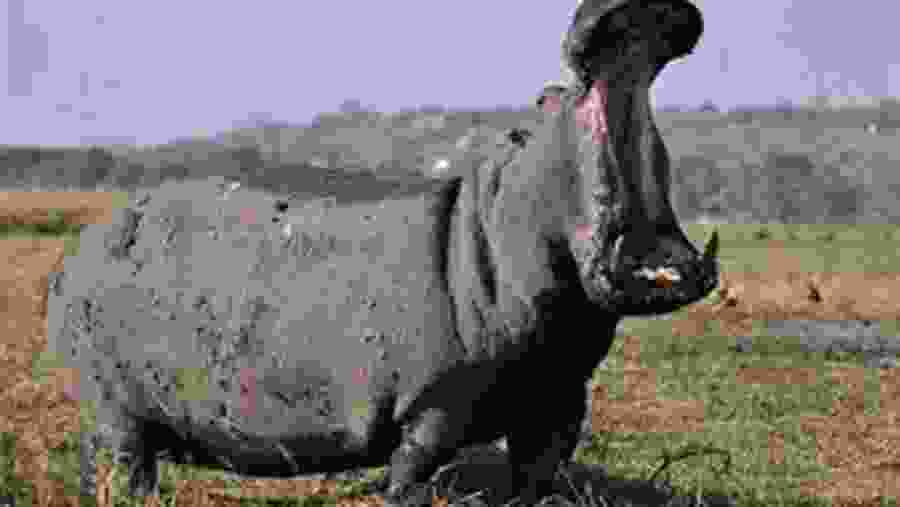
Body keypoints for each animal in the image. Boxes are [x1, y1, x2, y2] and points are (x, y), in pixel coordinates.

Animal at [49, 0, 716, 505]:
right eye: (542, 103)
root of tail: (82, 244)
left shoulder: (556, 399)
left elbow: (538, 479)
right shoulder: (434, 406)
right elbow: (409, 478)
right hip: (114, 405)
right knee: (125, 462)